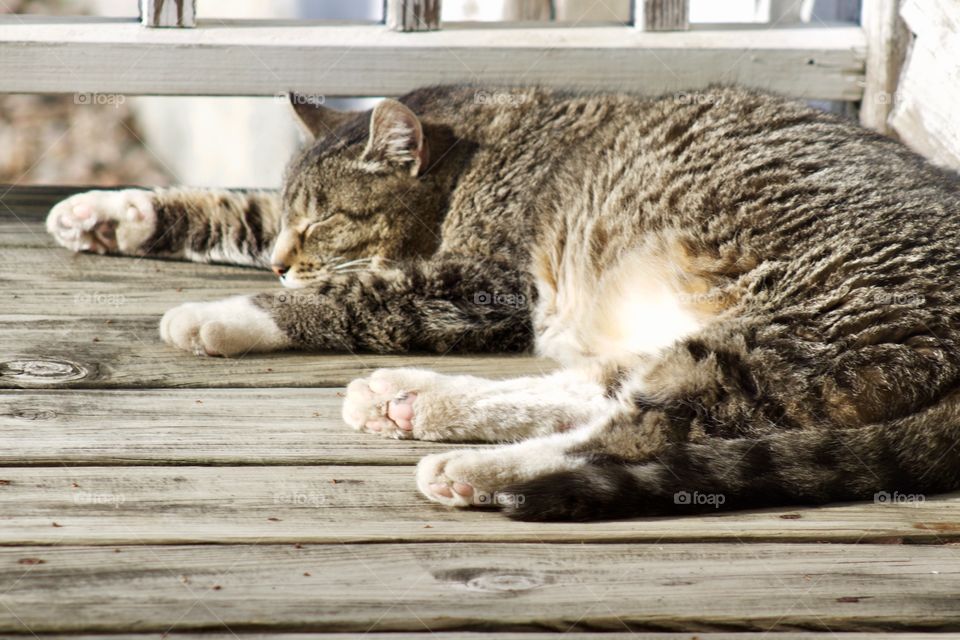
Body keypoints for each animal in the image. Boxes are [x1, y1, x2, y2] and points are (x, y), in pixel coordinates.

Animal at [47, 85, 960, 520]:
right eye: (300, 217)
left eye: (328, 221)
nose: (276, 268)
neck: (472, 153)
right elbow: (240, 206)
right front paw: (112, 213)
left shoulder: (489, 286)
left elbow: (359, 291)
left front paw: (235, 313)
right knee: (601, 388)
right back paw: (412, 401)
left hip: (800, 329)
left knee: (639, 428)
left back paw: (477, 469)